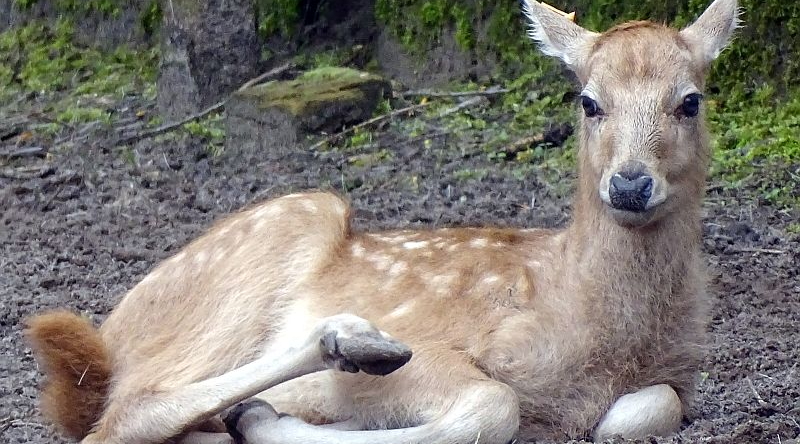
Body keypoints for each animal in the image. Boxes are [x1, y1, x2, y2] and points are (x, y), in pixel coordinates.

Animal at [25, 0, 736, 442]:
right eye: (589, 102)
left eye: (690, 101)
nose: (630, 183)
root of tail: (105, 345)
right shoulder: (452, 345)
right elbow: (494, 404)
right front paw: (279, 418)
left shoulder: (676, 379)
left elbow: (645, 410)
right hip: (283, 232)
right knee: (128, 411)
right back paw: (347, 348)